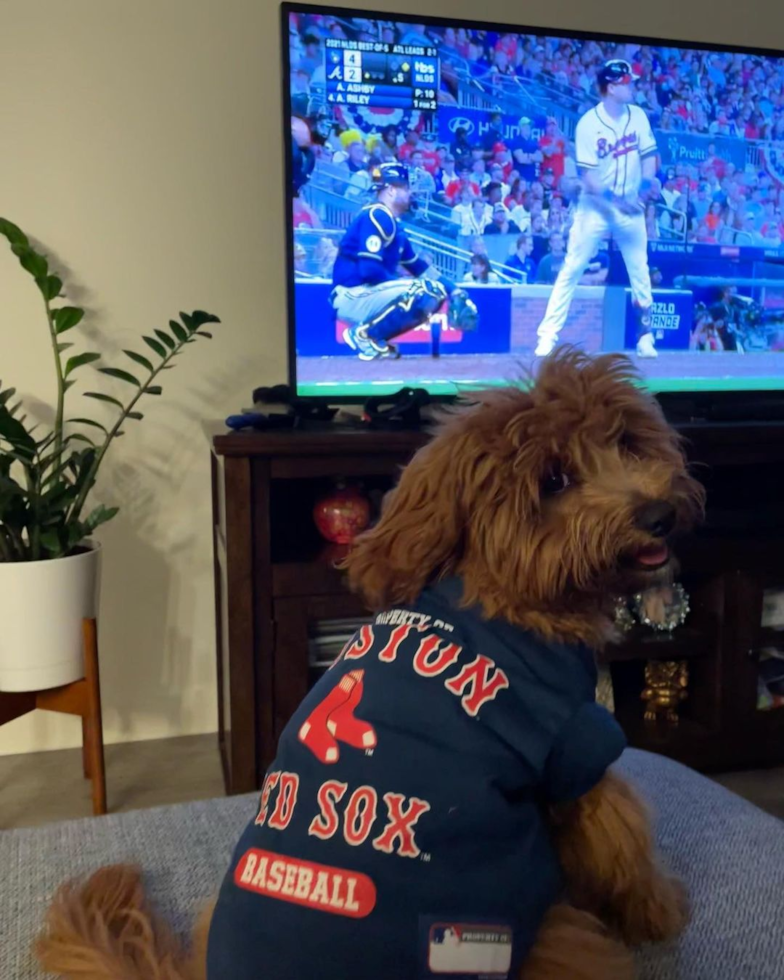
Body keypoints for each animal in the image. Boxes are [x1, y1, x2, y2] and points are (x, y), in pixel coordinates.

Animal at [35, 352, 704, 980]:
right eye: (555, 479)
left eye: (626, 441)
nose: (658, 516)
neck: (500, 585)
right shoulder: (576, 746)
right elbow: (623, 842)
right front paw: (660, 909)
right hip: (544, 940)